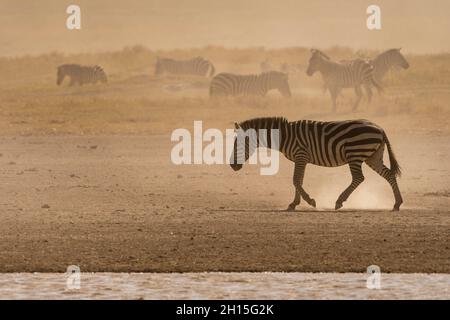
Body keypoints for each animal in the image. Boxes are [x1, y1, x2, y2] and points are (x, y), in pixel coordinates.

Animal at [230, 116, 402, 211]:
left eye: (238, 143)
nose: (232, 165)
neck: (284, 136)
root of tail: (380, 128)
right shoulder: (302, 159)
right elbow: (299, 180)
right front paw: (294, 204)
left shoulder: (300, 155)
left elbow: (295, 180)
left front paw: (310, 201)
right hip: (373, 157)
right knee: (389, 174)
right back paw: (397, 203)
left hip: (355, 154)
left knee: (359, 178)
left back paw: (339, 201)